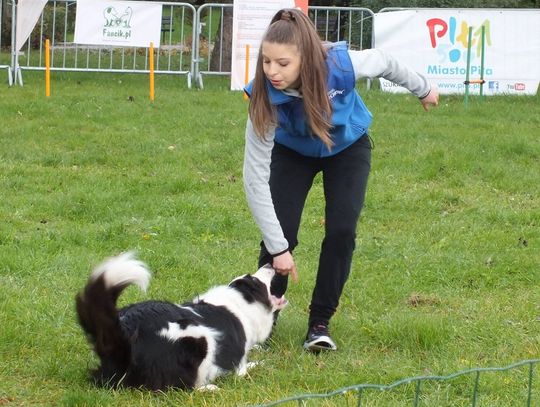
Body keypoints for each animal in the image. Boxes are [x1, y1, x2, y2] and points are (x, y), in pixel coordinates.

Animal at [76, 252, 288, 392]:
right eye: (255, 278)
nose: (270, 265)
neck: (242, 302)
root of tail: (123, 330)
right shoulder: (235, 364)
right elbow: (245, 368)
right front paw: (259, 363)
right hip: (199, 339)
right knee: (181, 388)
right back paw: (208, 388)